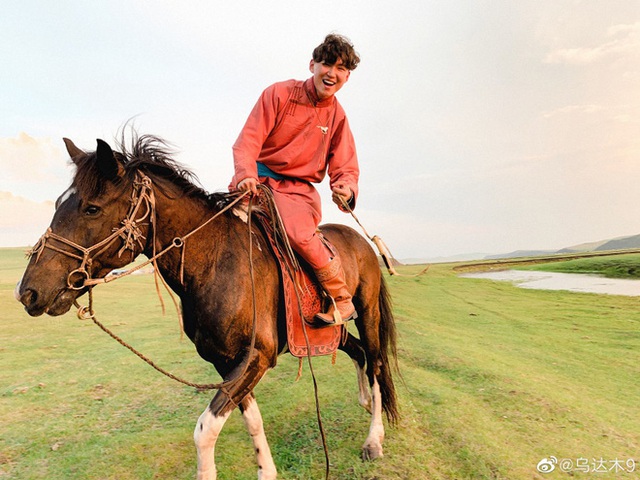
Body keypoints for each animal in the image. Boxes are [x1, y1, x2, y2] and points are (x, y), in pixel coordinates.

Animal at [16, 135, 400, 480]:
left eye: (92, 208)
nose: (28, 292)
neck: (215, 262)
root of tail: (360, 240)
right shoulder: (225, 362)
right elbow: (252, 419)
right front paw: (267, 471)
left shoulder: (256, 357)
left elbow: (205, 430)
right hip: (328, 331)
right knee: (358, 352)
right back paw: (365, 404)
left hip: (367, 312)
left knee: (376, 362)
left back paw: (373, 440)